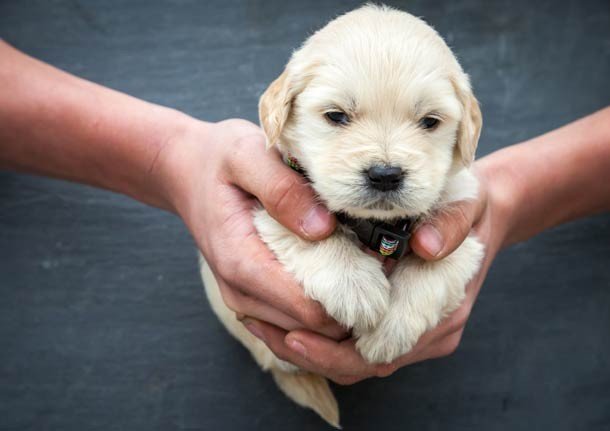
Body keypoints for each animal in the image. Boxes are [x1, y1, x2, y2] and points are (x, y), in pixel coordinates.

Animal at [202, 4, 482, 428]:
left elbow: (433, 267)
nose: (385, 174)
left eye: (430, 121)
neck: (376, 226)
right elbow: (311, 234)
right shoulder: (269, 206)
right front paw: (356, 287)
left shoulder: (465, 233)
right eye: (336, 116)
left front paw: (389, 331)